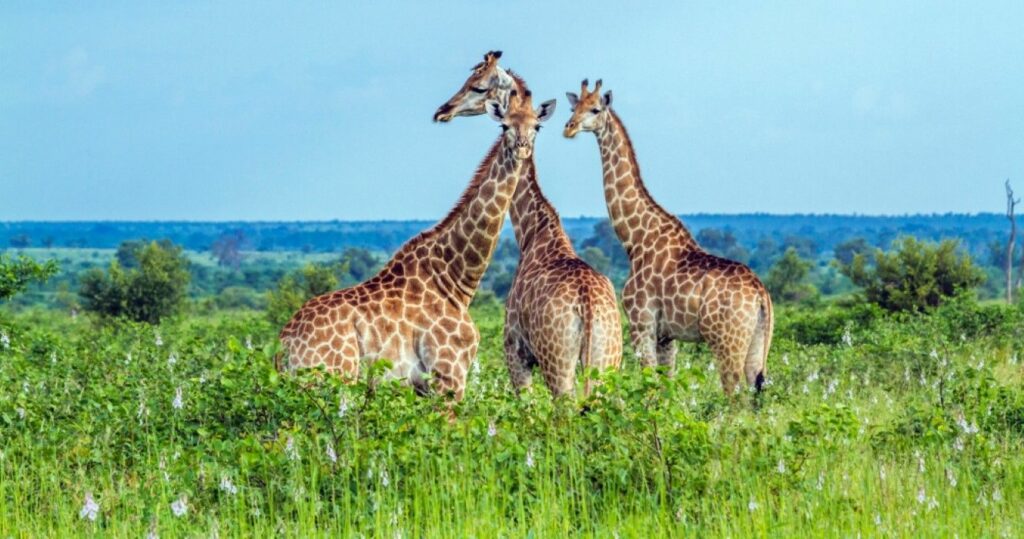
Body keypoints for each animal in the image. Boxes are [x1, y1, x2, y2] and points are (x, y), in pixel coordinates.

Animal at [280, 88, 557, 401]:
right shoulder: (449, 376)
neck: (455, 278)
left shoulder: (424, 387)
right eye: (504, 126)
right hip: (329, 379)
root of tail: (284, 344)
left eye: (537, 126)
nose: (522, 148)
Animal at [434, 51, 622, 397]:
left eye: (478, 85)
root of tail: (587, 306)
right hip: (608, 362)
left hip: (558, 364)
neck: (534, 232)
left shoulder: (515, 352)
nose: (444, 110)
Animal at [565, 78, 770, 395]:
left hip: (726, 343)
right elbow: (666, 388)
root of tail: (761, 294)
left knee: (736, 396)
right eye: (574, 107)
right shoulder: (666, 336)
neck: (635, 240)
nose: (569, 127)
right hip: (757, 344)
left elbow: (650, 387)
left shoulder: (641, 324)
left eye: (595, 109)